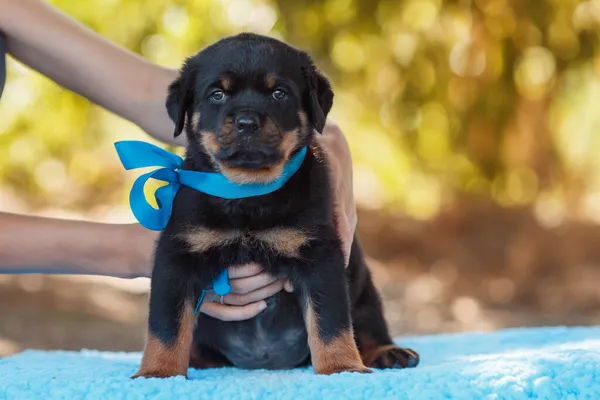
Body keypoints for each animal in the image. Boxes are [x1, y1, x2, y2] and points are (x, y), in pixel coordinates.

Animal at [134, 32, 420, 378]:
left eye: (279, 93)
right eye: (217, 94)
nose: (247, 122)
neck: (248, 194)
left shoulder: (319, 254)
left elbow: (331, 321)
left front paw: (341, 367)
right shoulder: (177, 256)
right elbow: (166, 326)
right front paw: (158, 372)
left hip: (363, 282)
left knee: (368, 321)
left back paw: (388, 351)